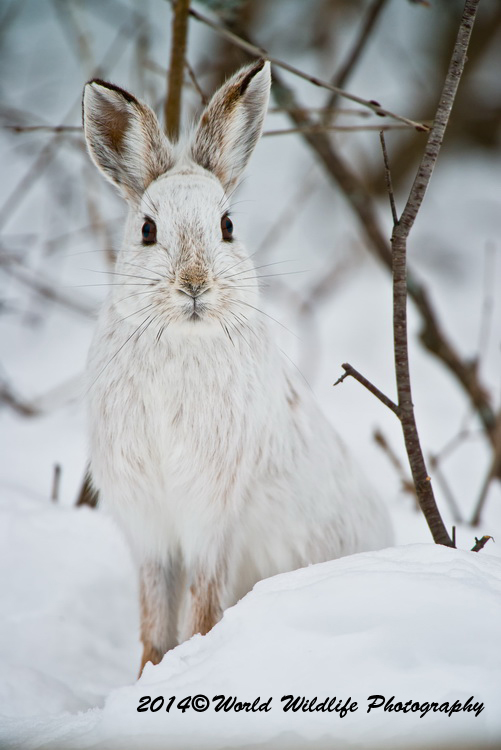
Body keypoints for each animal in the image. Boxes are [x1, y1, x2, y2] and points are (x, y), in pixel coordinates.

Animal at [82, 59, 392, 675]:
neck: (181, 341)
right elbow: (154, 616)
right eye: (148, 230)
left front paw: (188, 663)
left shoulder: (211, 518)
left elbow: (202, 606)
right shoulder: (150, 527)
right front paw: (147, 675)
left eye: (226, 226)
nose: (195, 285)